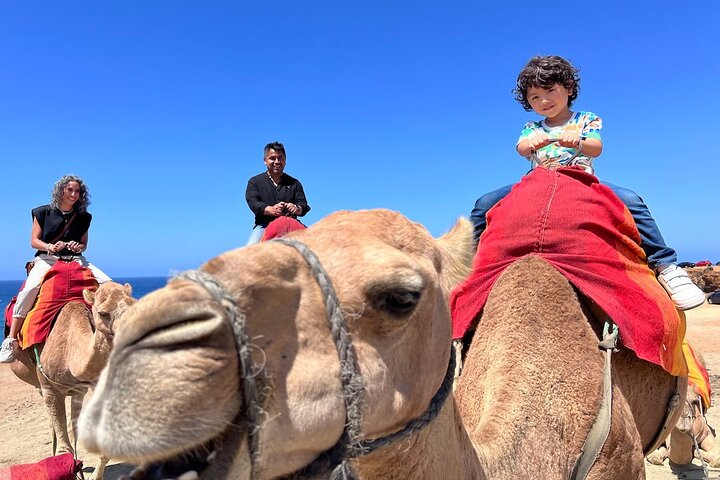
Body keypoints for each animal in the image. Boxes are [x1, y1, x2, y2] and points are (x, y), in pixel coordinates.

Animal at [11, 281, 135, 480]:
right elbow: (64, 449)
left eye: (134, 303)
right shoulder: (49, 387)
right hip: (40, 383)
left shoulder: (90, 385)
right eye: (103, 313)